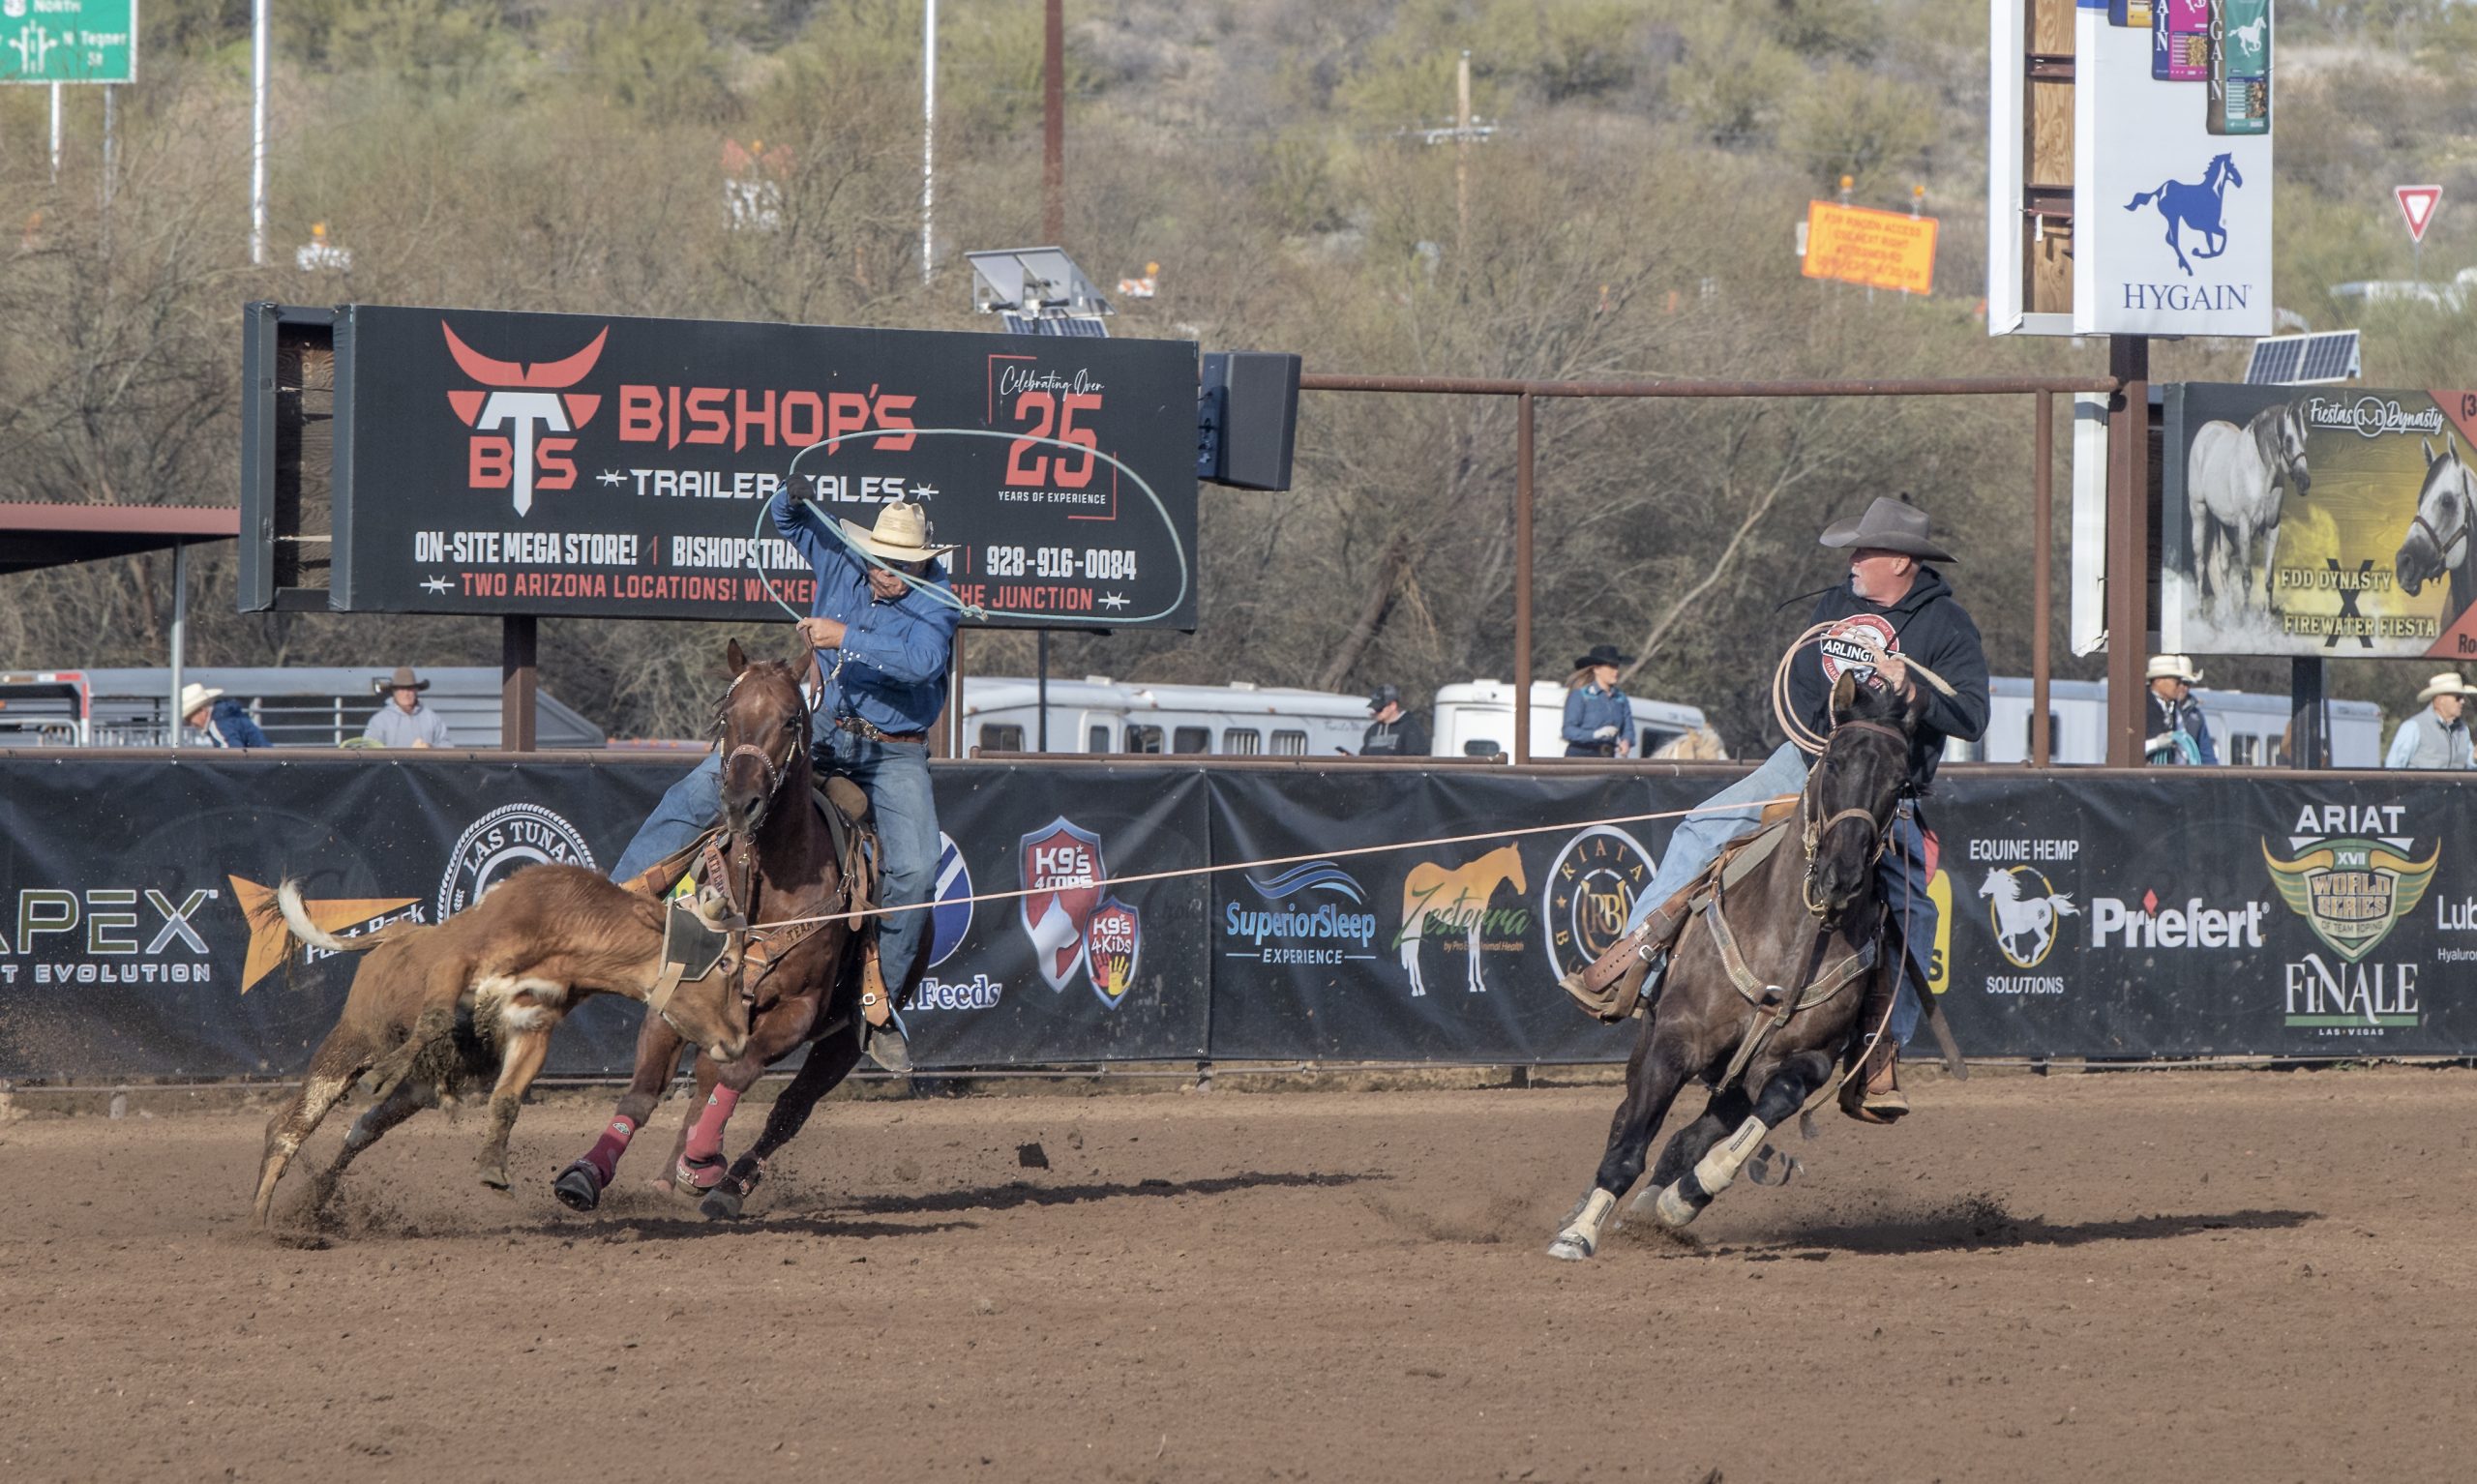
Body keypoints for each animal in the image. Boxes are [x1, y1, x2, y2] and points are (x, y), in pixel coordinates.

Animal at [552, 643, 872, 1224]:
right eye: (726, 717)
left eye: (791, 719)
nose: (740, 804)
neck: (765, 884)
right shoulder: (677, 993)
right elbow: (643, 1092)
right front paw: (585, 1174)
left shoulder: (799, 1010)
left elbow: (741, 1073)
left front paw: (703, 1159)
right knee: (706, 1079)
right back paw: (669, 1176)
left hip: (846, 1038)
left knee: (787, 1108)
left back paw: (723, 1182)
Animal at [1536, 678, 1922, 1263]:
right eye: (1833, 761)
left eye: (1902, 783)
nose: (1842, 875)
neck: (1791, 941)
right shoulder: (1674, 1042)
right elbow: (1629, 1147)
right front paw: (1578, 1234)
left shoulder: (1806, 1061)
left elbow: (1774, 1103)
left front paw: (1688, 1195)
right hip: (1651, 1043)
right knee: (1626, 1122)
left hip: (1733, 1083)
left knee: (1685, 1140)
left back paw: (1657, 1207)